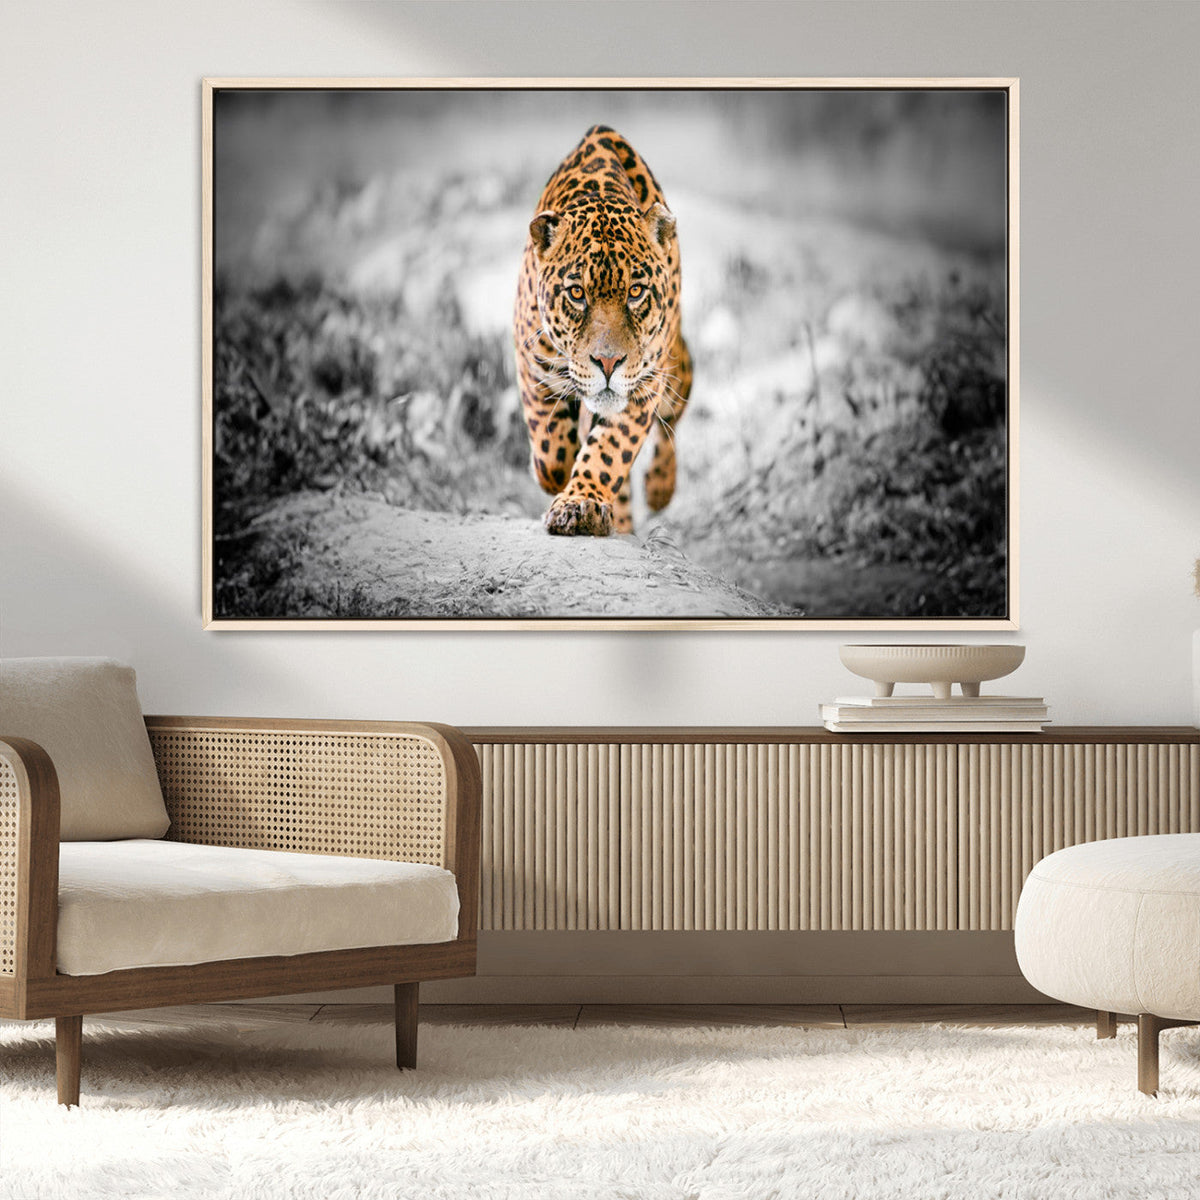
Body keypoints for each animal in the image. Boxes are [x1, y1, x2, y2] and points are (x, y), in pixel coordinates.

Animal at [513, 125, 693, 536]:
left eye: (636, 292)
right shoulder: (532, 361)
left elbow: (609, 450)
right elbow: (550, 450)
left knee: (672, 420)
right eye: (577, 293)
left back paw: (659, 488)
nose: (608, 363)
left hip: (676, 367)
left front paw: (580, 503)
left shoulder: (644, 383)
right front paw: (556, 476)